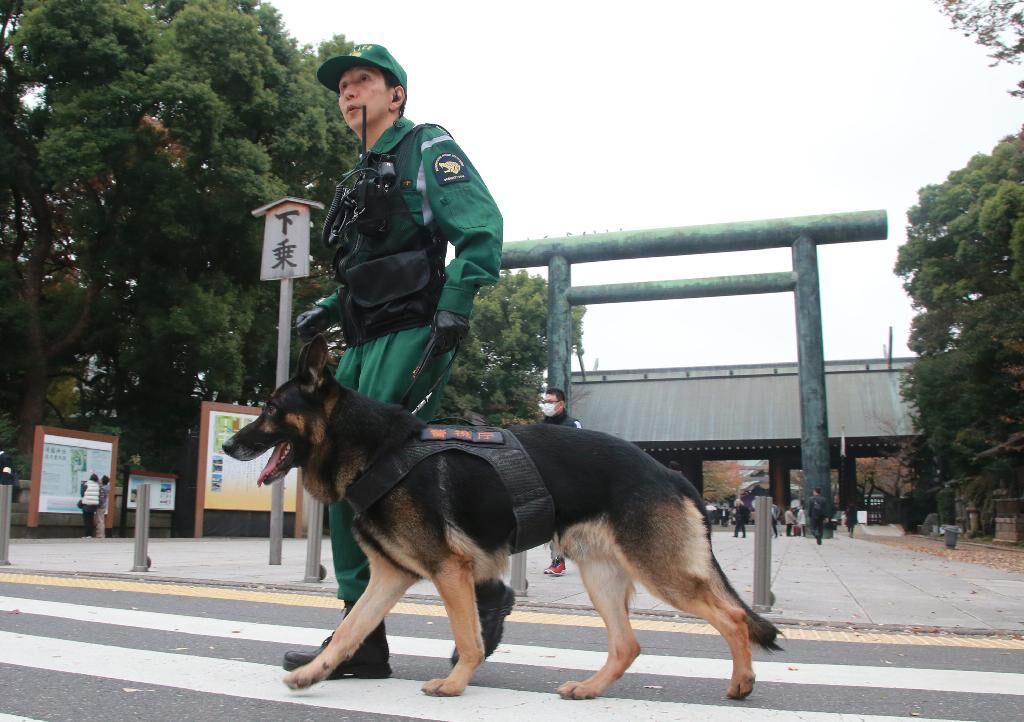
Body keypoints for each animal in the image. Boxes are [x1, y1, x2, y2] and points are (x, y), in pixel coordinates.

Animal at [222, 336, 781, 700]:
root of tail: (670, 473)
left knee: (733, 618)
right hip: (600, 575)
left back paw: (741, 682)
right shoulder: (389, 576)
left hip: (661, 573)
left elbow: (467, 637)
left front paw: (455, 684)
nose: (228, 445)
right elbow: (348, 630)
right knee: (627, 644)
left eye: (270, 409)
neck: (378, 451)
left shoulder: (449, 571)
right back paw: (590, 689)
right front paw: (313, 674)